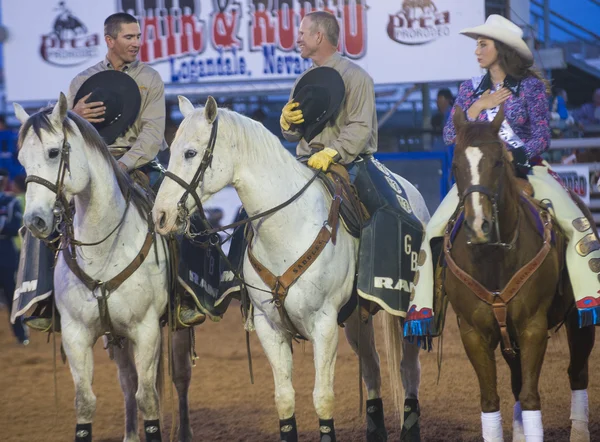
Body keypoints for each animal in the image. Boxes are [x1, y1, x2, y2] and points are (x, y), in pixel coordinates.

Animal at [14, 96, 192, 442]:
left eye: (53, 152)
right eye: (20, 159)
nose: (34, 221)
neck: (105, 248)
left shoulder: (146, 330)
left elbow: (149, 399)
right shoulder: (76, 334)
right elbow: (85, 401)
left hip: (177, 328)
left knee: (179, 378)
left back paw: (185, 432)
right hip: (117, 337)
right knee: (128, 381)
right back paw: (130, 434)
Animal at [152, 96, 428, 442]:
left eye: (190, 153)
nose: (160, 215)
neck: (289, 228)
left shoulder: (324, 324)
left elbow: (323, 398)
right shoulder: (268, 326)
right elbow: (284, 399)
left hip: (405, 314)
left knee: (408, 368)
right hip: (356, 317)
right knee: (372, 365)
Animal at [440, 107, 596, 442]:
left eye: (499, 161)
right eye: (456, 165)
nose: (479, 226)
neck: (494, 257)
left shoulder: (532, 327)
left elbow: (530, 396)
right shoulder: (473, 333)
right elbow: (491, 400)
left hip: (580, 319)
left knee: (577, 373)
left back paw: (579, 431)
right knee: (515, 380)